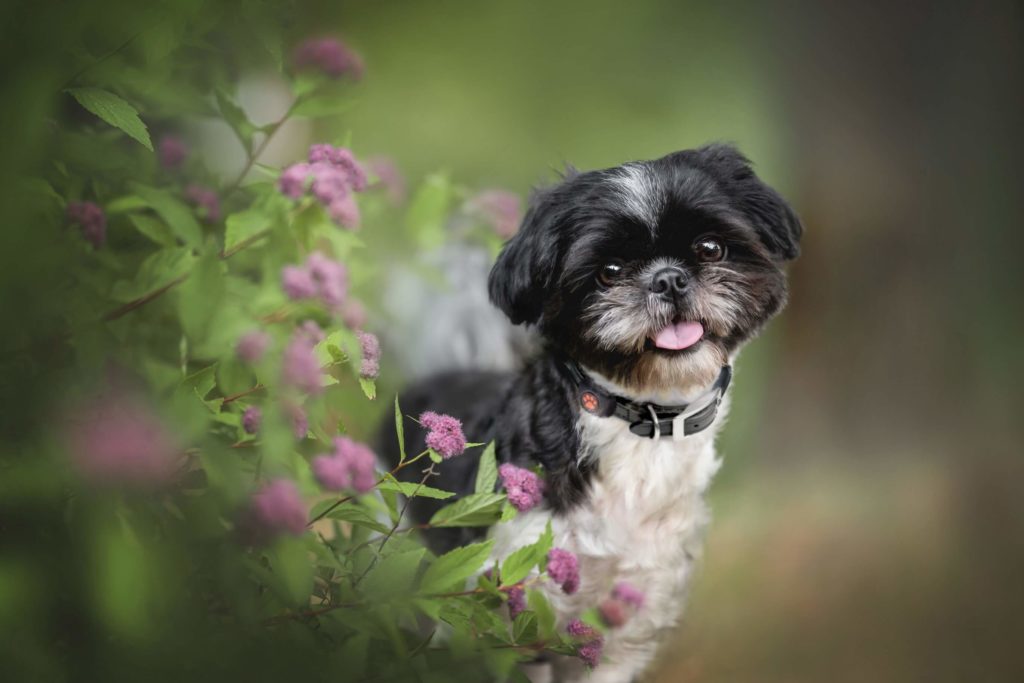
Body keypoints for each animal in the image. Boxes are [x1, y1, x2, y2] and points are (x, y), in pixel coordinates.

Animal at [380, 141, 802, 679]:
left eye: (710, 248)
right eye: (610, 272)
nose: (668, 279)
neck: (642, 423)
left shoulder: (629, 621)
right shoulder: (513, 609)